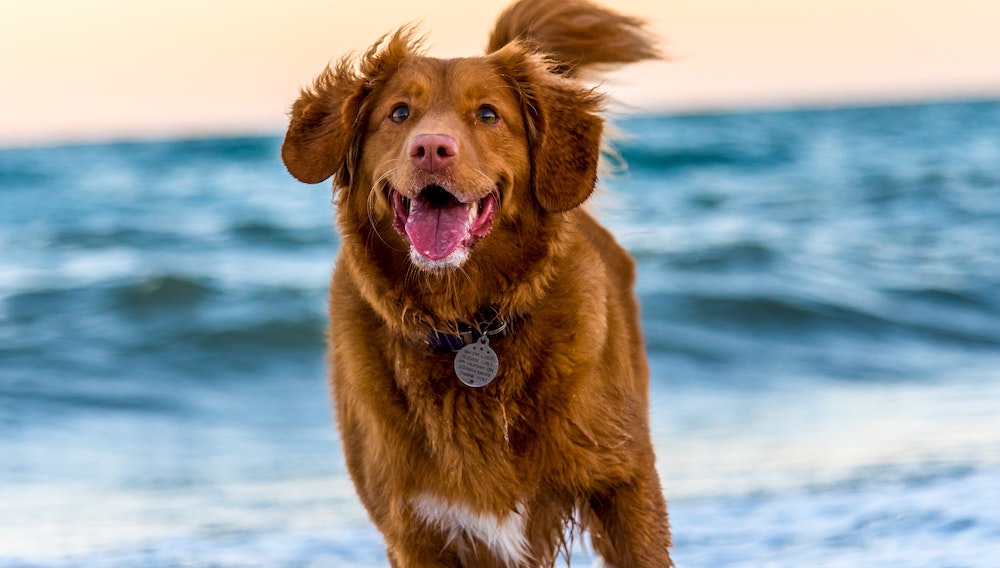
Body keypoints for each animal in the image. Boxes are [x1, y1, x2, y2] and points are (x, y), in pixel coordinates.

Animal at [282, 0, 672, 564]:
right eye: (399, 113)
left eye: (488, 115)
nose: (430, 148)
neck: (467, 324)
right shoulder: (415, 528)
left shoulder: (625, 485)